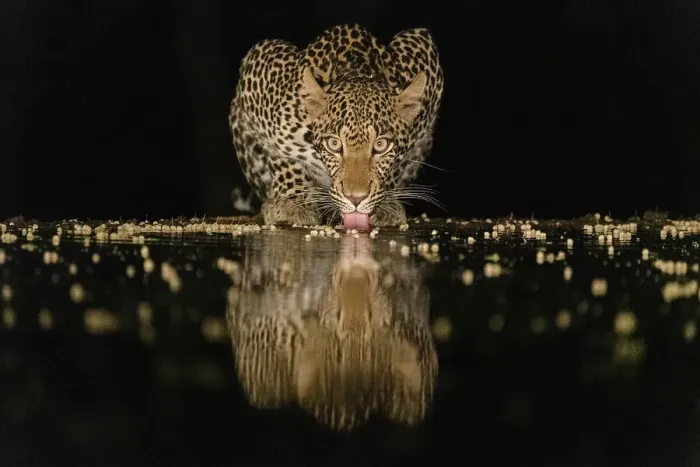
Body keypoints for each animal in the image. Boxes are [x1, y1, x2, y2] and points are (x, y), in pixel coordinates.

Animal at [228, 24, 444, 230]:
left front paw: (385, 205)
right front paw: (293, 203)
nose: (356, 199)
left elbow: (397, 165)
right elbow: (282, 157)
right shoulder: (259, 61)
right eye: (334, 144)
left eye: (381, 145)